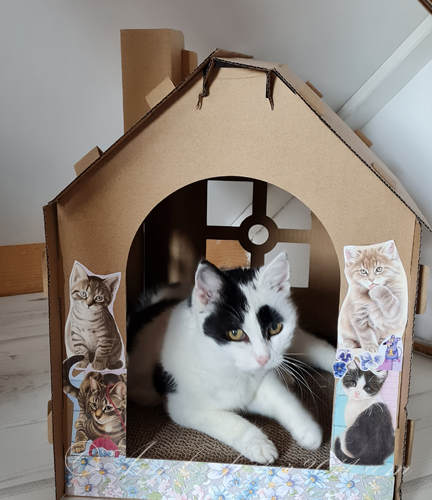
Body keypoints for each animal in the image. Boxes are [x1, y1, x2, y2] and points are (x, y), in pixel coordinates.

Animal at [127, 252, 336, 464]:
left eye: (274, 328)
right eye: (235, 333)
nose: (263, 358)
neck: (229, 366)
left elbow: (280, 397)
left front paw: (308, 429)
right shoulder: (182, 406)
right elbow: (226, 420)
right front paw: (258, 443)